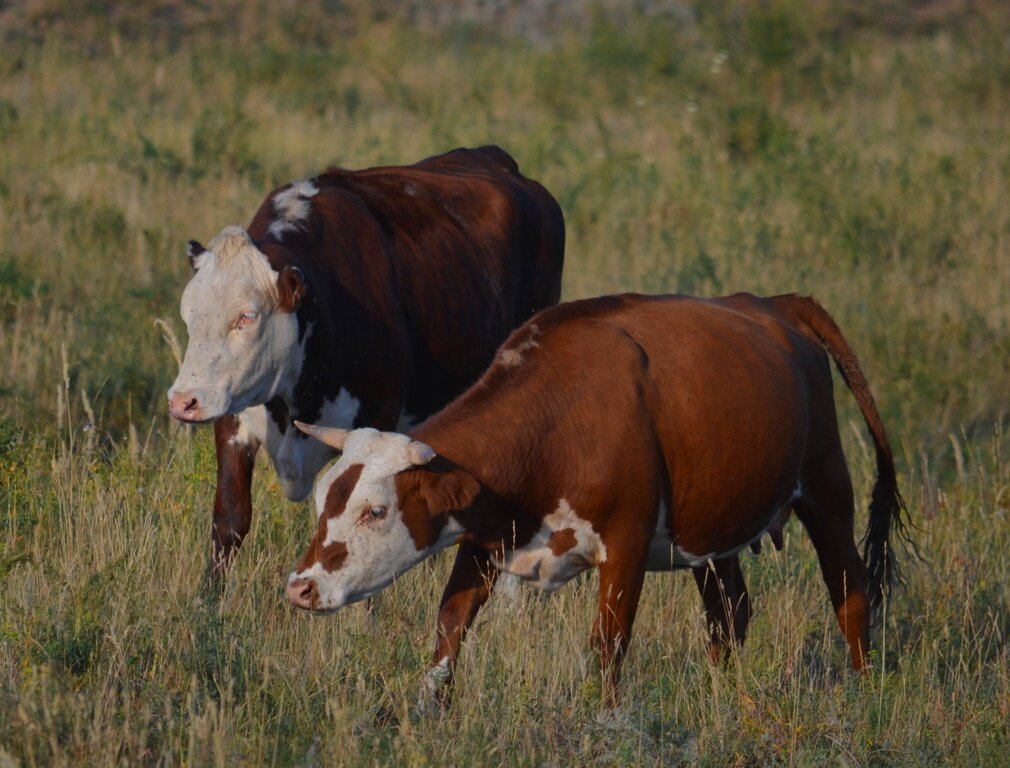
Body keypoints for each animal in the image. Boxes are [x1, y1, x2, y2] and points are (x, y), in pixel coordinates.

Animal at [166, 146, 565, 581]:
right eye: (188, 314)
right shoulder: (233, 416)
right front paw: (209, 596)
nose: (183, 401)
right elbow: (230, 520)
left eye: (246, 316)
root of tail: (496, 159)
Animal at [285, 292, 910, 709]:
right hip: (712, 531)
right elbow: (451, 622)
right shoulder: (487, 537)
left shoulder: (625, 546)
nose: (301, 588)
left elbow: (608, 645)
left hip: (827, 488)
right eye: (322, 503)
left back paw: (863, 693)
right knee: (729, 612)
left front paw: (603, 721)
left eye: (375, 511)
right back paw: (722, 693)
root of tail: (776, 306)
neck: (560, 420)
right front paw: (430, 704)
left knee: (850, 592)